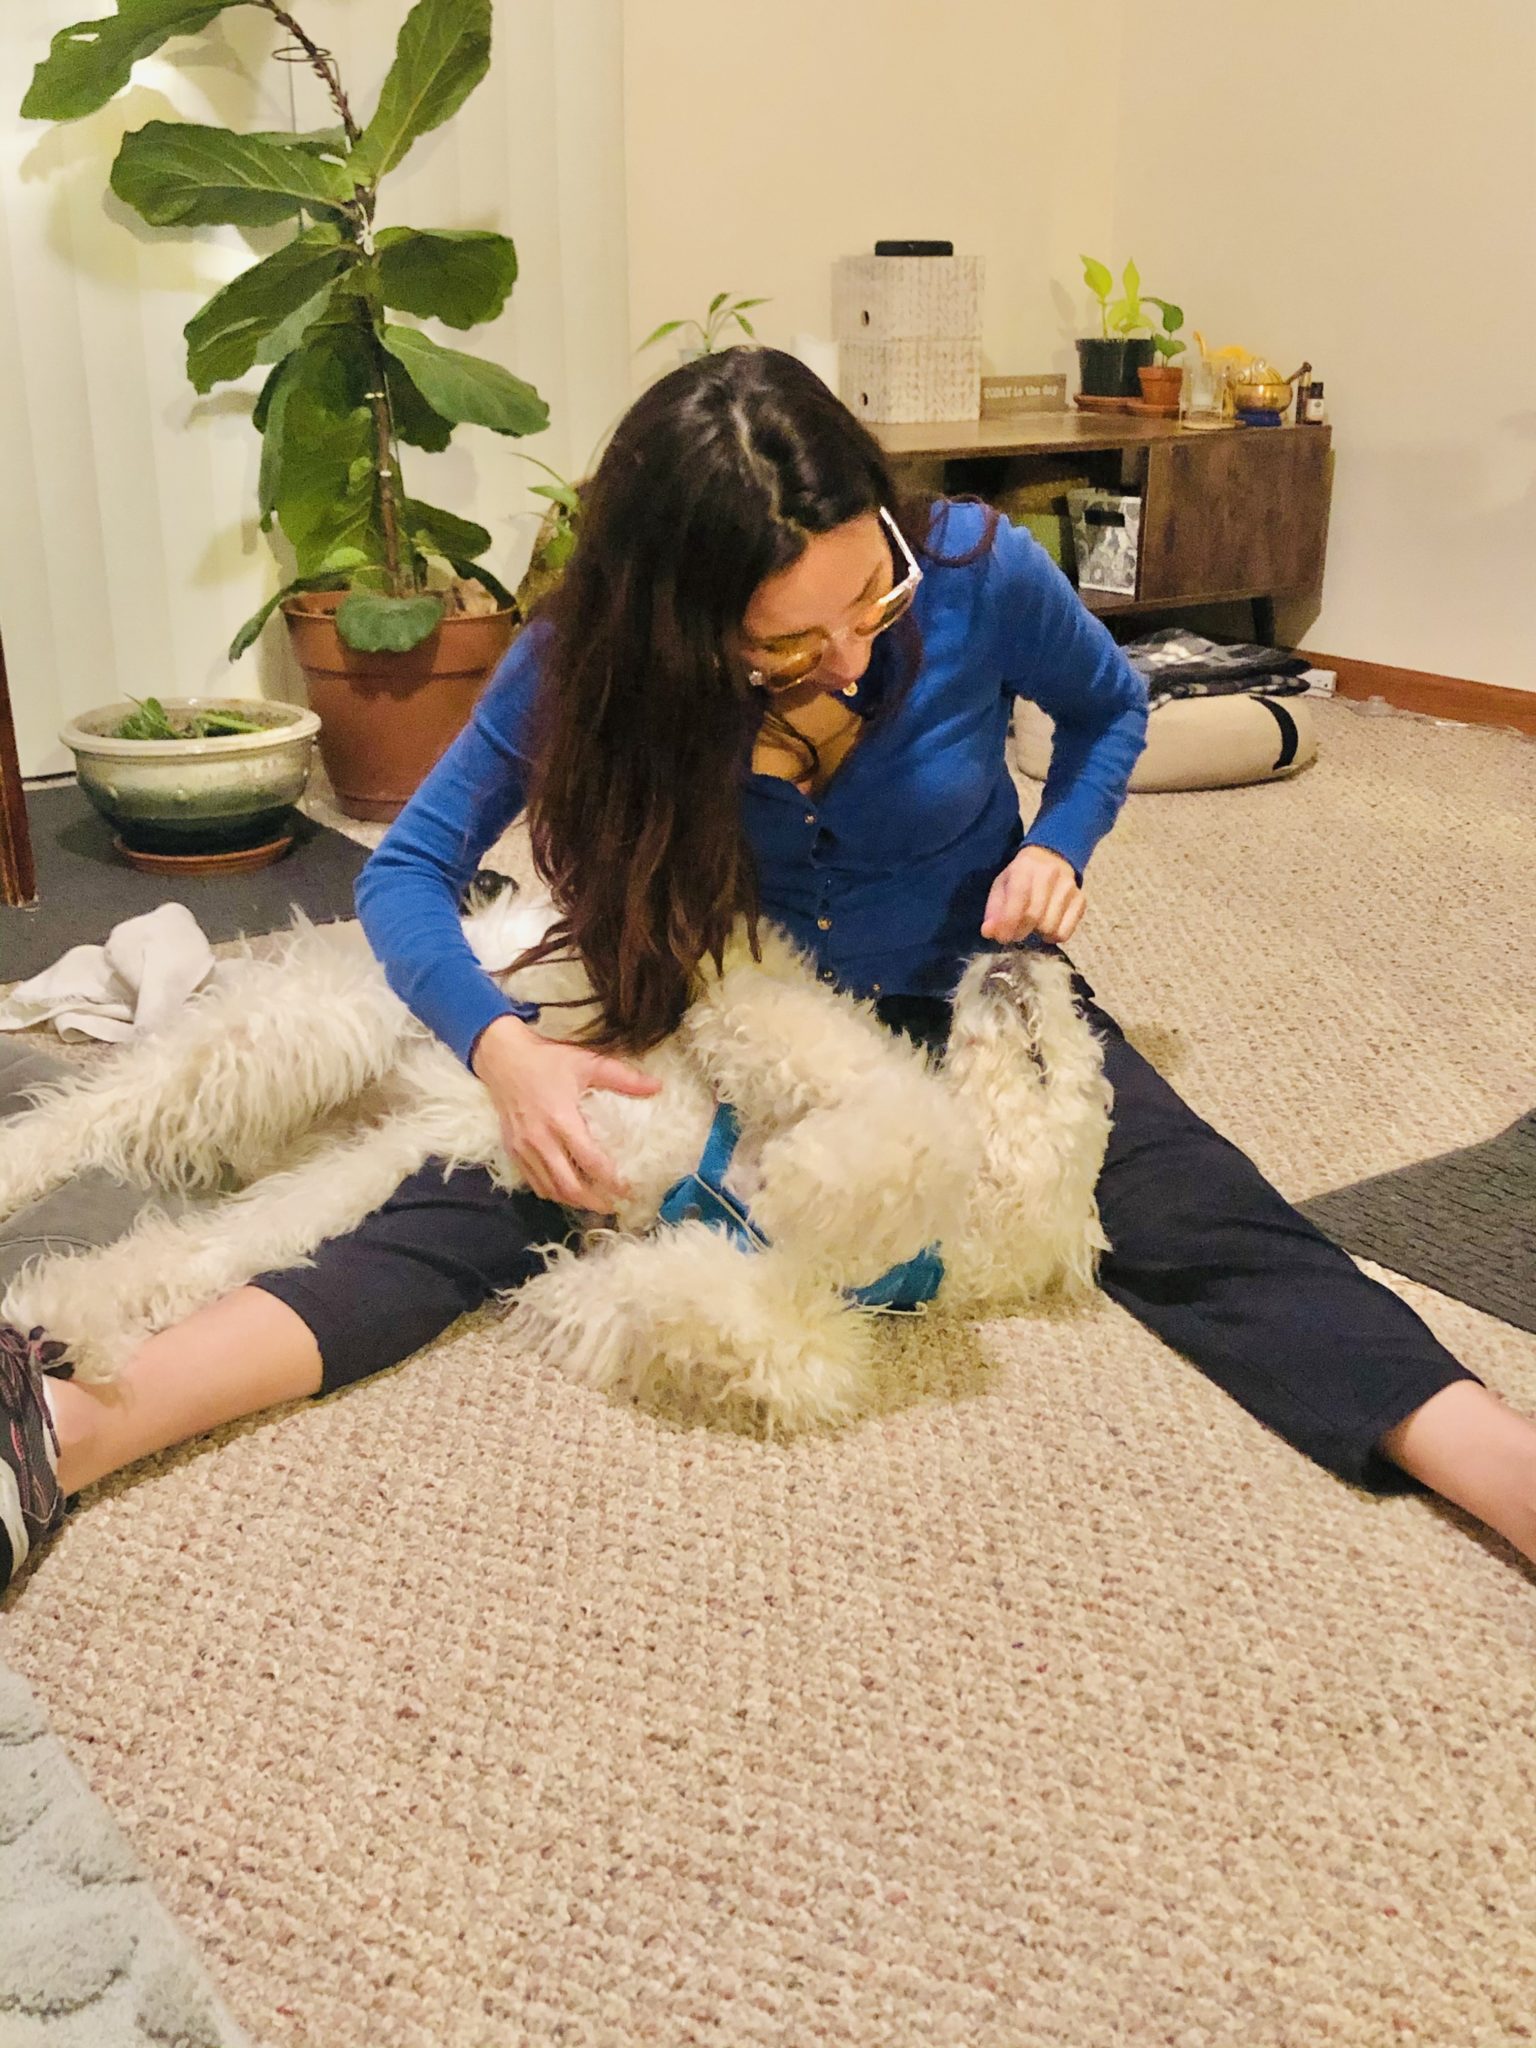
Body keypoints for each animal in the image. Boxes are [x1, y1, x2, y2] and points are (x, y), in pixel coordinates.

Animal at [0, 888, 1105, 1433]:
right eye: (1070, 1058)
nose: (1030, 949)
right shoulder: (777, 1027)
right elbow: (890, 1108)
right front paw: (814, 1172)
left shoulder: (790, 1303)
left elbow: (789, 1343)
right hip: (310, 1035)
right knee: (91, 1111)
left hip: (355, 1171)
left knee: (188, 1253)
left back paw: (63, 1319)